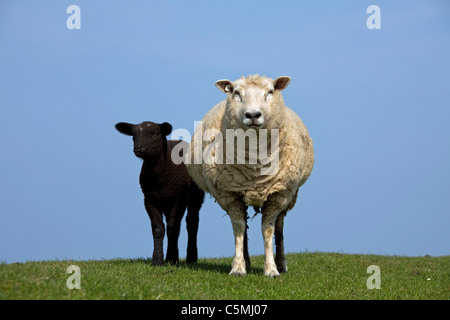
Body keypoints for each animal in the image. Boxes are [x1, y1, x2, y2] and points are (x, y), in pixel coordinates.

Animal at [185, 74, 312, 276]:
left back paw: (281, 263)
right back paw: (247, 260)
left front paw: (271, 270)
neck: (255, 164)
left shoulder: (278, 195)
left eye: (270, 92)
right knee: (244, 225)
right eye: (236, 93)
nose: (253, 115)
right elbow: (239, 228)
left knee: (280, 227)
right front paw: (238, 267)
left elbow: (268, 230)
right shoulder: (229, 194)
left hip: (289, 195)